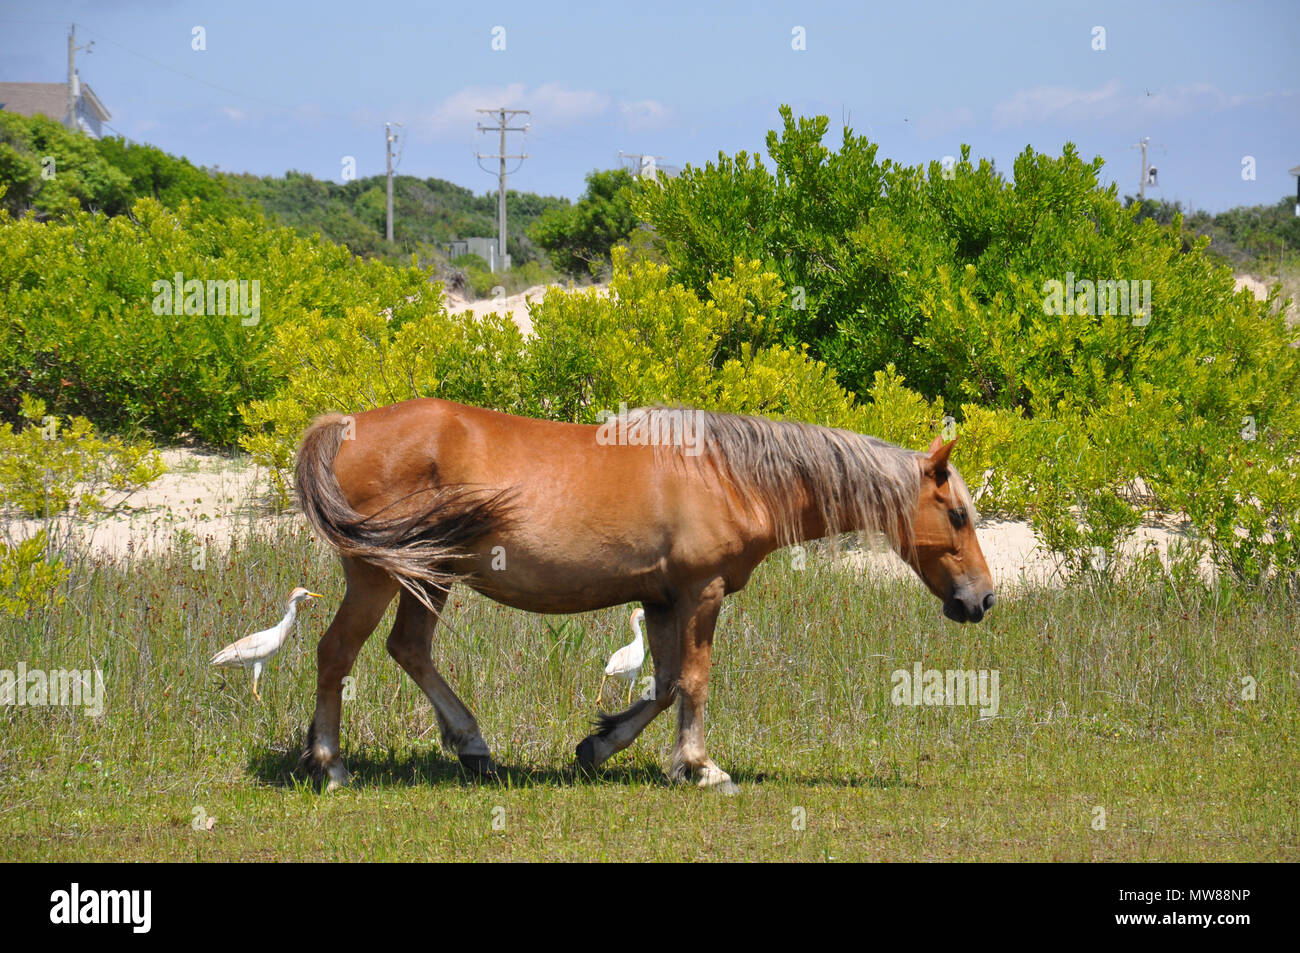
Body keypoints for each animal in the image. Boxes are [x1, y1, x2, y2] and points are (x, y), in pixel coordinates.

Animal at [294, 398, 995, 793]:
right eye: (958, 515)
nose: (983, 600)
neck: (728, 473)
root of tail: (345, 428)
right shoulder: (701, 593)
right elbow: (695, 681)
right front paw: (701, 767)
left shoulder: (661, 601)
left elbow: (662, 685)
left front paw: (598, 747)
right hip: (379, 577)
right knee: (336, 654)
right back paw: (330, 765)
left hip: (427, 576)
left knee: (408, 649)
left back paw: (471, 747)